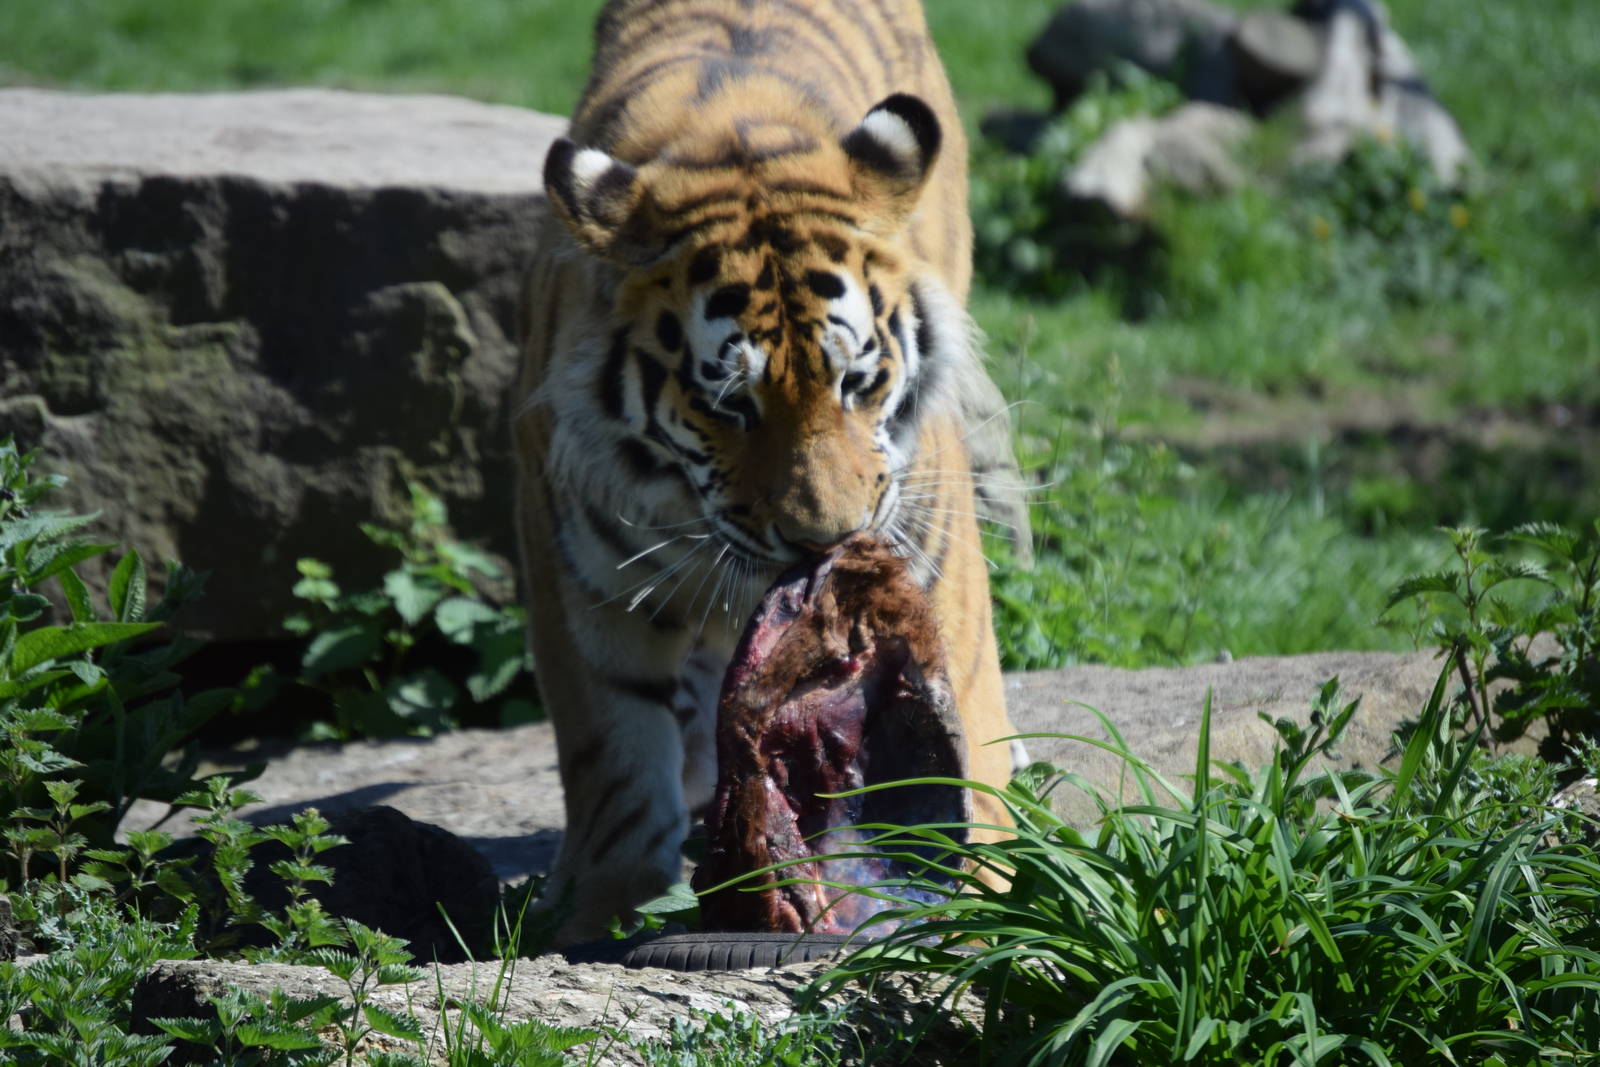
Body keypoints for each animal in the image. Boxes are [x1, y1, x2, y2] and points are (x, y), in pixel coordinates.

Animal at [512, 0, 1033, 946]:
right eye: (731, 404)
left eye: (857, 382)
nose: (826, 540)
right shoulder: (574, 557)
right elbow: (611, 748)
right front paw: (597, 911)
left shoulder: (930, 538)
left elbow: (966, 717)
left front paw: (985, 895)